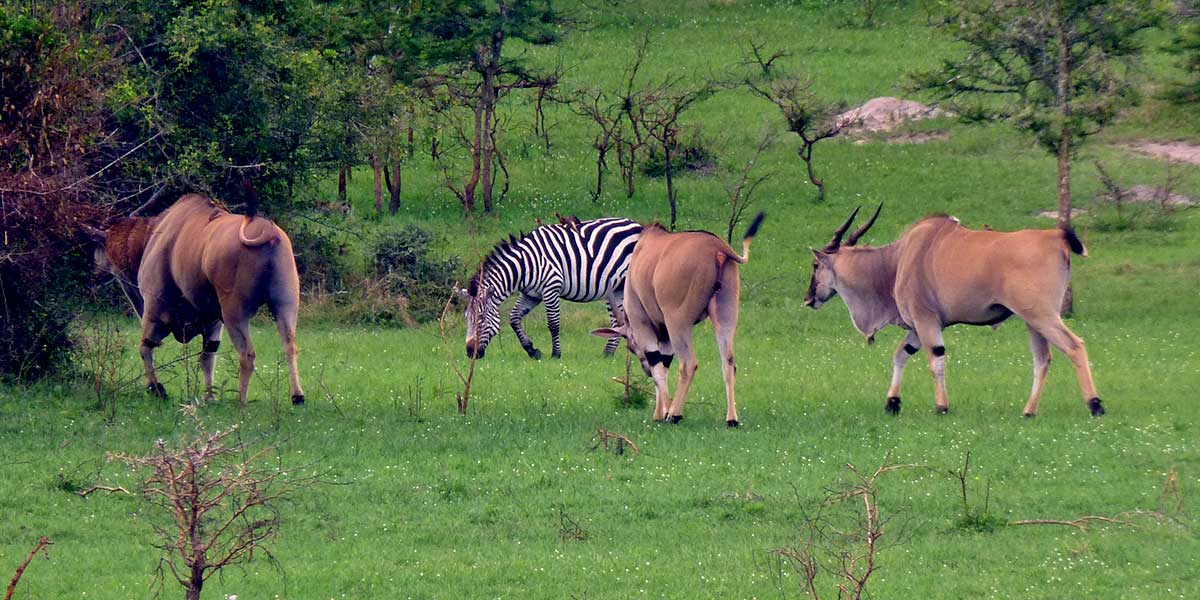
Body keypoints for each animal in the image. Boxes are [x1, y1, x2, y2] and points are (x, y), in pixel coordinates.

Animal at [463, 217, 643, 360]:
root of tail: (637, 225)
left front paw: (556, 354)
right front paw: (532, 350)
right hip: (617, 289)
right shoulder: (531, 294)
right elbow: (514, 319)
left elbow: (553, 324)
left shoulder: (551, 288)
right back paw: (608, 354)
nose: (470, 353)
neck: (526, 265)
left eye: (481, 318)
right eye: (466, 318)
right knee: (618, 320)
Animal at [592, 211, 768, 427]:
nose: (644, 370)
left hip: (678, 322)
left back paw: (675, 414)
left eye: (631, 347)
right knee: (729, 362)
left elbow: (658, 365)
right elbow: (665, 364)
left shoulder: (643, 324)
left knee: (688, 364)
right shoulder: (666, 335)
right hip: (725, 317)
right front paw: (660, 412)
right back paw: (731, 419)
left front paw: (664, 412)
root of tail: (718, 247)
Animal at [801, 205, 1099, 417]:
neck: (897, 260)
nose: (808, 299)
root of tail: (1056, 237)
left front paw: (941, 406)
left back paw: (1095, 404)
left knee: (1074, 346)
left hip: (1042, 315)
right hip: (1032, 320)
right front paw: (892, 402)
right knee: (1043, 359)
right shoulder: (919, 327)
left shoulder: (925, 319)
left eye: (815, 266)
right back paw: (1029, 411)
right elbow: (900, 355)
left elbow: (936, 358)